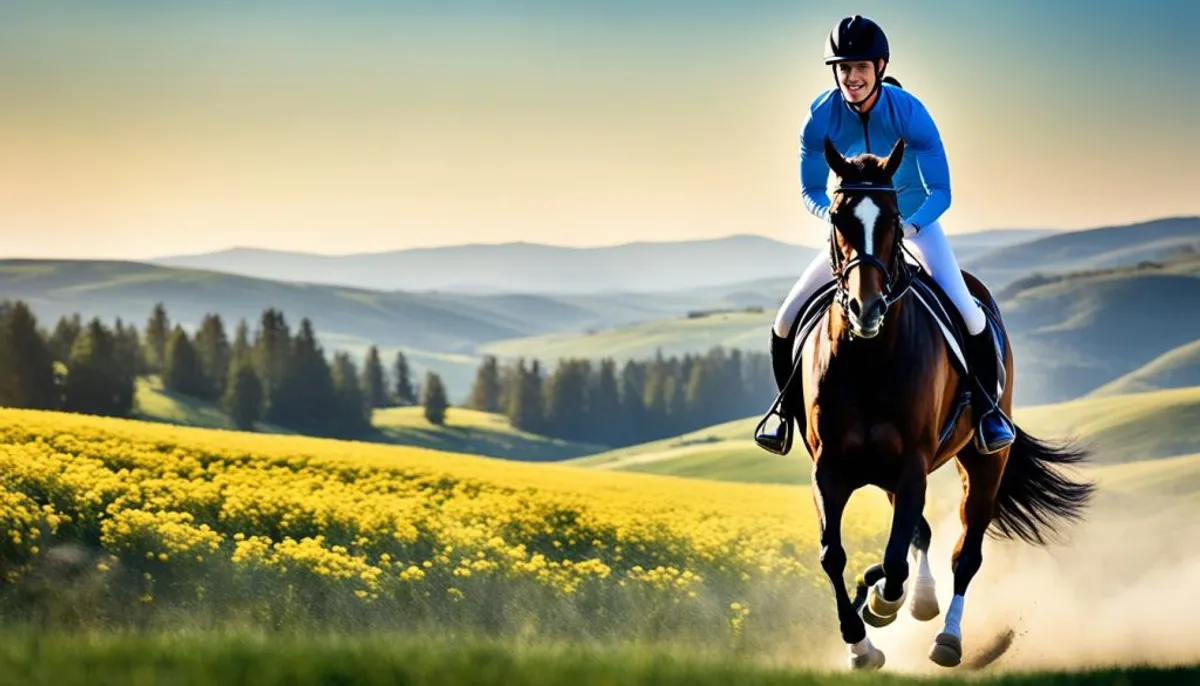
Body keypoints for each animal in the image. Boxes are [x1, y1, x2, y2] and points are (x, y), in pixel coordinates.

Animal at [777, 137, 1099, 671]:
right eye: (839, 217)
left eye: (892, 218)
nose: (866, 308)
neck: (868, 358)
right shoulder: (830, 468)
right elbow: (835, 554)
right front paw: (860, 642)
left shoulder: (912, 463)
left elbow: (896, 558)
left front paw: (884, 604)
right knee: (919, 537)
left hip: (983, 463)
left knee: (964, 554)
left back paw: (945, 635)